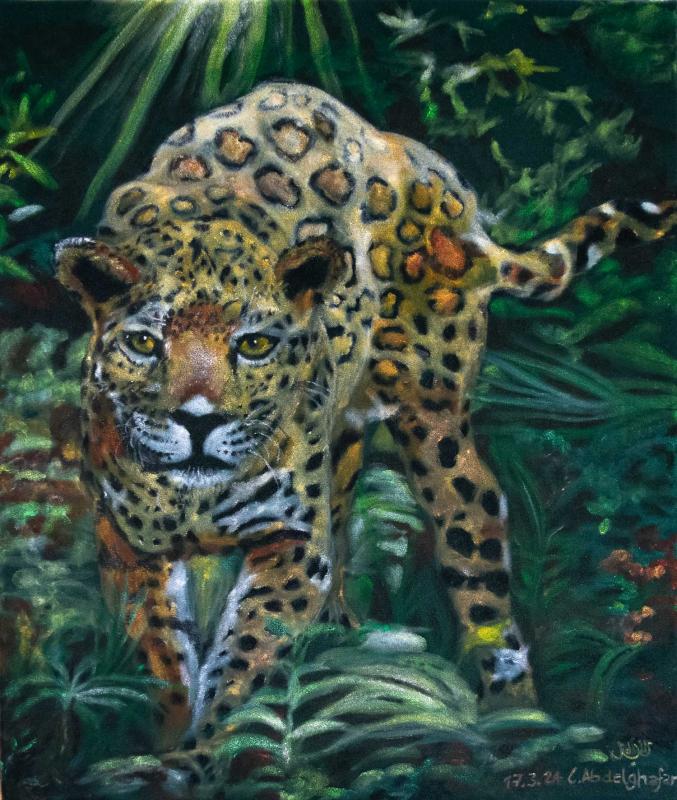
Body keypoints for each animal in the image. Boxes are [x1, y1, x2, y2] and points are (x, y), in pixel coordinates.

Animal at [55, 80, 675, 790]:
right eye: (143, 343)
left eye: (254, 345)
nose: (198, 419)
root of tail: (423, 163)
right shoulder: (129, 548)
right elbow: (163, 662)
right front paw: (162, 747)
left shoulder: (293, 542)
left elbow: (241, 663)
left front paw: (202, 758)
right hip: (347, 432)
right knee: (348, 510)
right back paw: (340, 637)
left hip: (433, 415)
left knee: (474, 530)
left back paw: (513, 719)